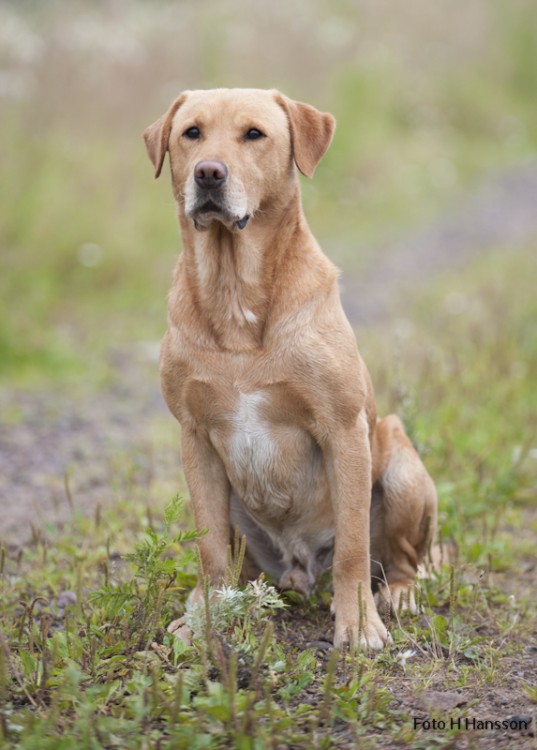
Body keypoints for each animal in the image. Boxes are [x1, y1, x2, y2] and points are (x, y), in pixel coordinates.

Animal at [142, 89, 436, 652]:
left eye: (254, 134)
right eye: (192, 133)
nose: (208, 173)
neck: (234, 293)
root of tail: (302, 571)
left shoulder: (343, 429)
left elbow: (353, 547)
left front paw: (358, 626)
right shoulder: (195, 438)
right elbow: (210, 550)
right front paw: (205, 624)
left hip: (399, 461)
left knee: (399, 560)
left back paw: (398, 593)